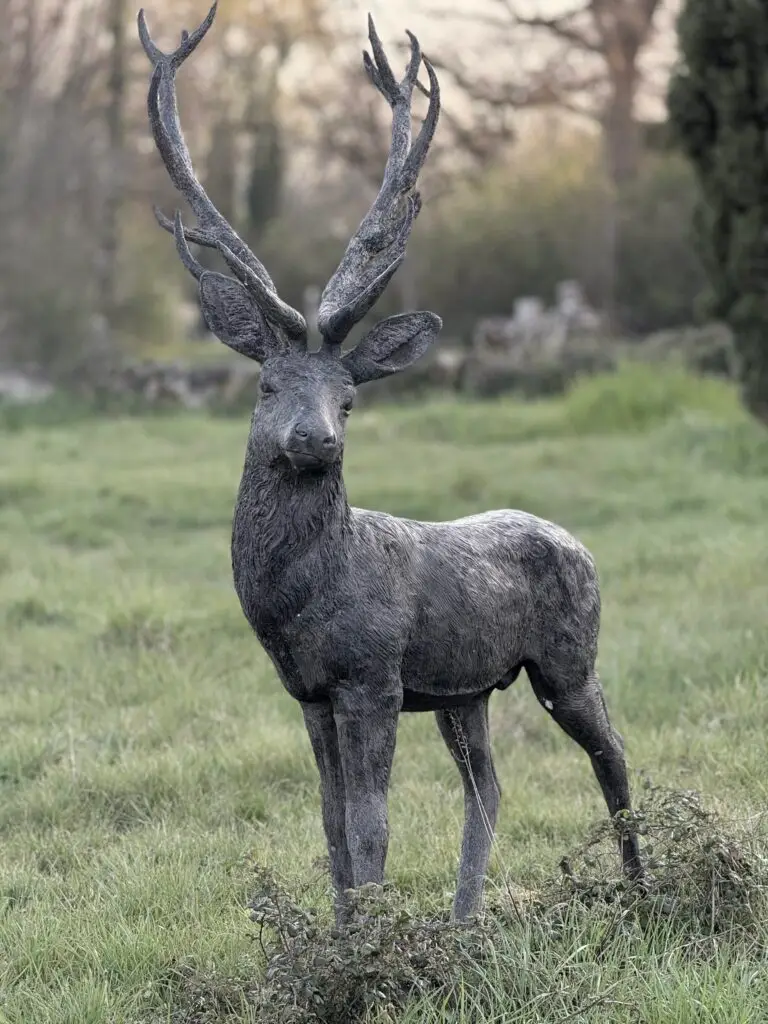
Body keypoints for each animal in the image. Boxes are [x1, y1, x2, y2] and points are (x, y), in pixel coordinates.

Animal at [138, 3, 644, 924]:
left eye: (350, 399)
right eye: (267, 383)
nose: (317, 440)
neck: (298, 604)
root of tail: (580, 542)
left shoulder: (372, 674)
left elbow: (372, 827)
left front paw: (373, 944)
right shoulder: (309, 691)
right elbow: (332, 823)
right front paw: (347, 934)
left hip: (568, 654)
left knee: (613, 752)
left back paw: (642, 886)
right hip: (466, 689)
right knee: (488, 786)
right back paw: (464, 919)